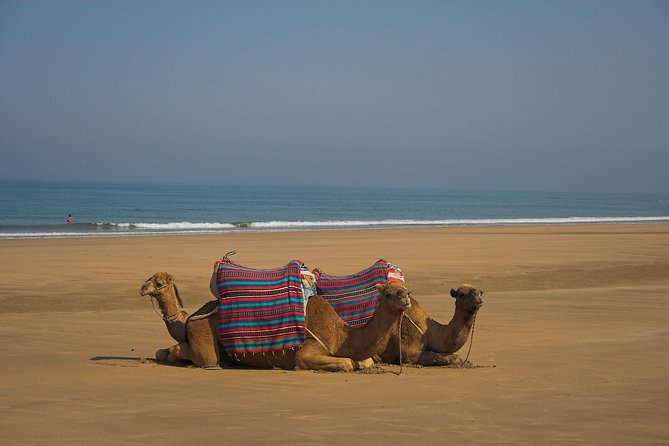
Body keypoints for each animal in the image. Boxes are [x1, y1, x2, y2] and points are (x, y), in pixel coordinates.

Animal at [140, 272, 411, 372]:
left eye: (404, 290)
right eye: (388, 293)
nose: (405, 297)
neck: (341, 334)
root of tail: (191, 318)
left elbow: (364, 361)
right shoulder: (308, 349)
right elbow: (346, 363)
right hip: (203, 333)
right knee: (201, 357)